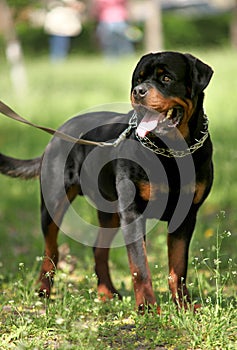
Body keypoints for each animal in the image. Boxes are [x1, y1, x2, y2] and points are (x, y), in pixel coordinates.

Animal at [0, 51, 213, 312]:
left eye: (166, 78)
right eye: (138, 79)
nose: (139, 91)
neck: (170, 152)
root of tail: (60, 131)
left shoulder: (185, 214)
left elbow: (178, 266)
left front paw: (183, 304)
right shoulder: (132, 212)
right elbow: (140, 266)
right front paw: (147, 307)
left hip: (109, 212)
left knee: (98, 249)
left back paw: (105, 293)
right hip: (53, 203)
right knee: (51, 250)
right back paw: (44, 291)